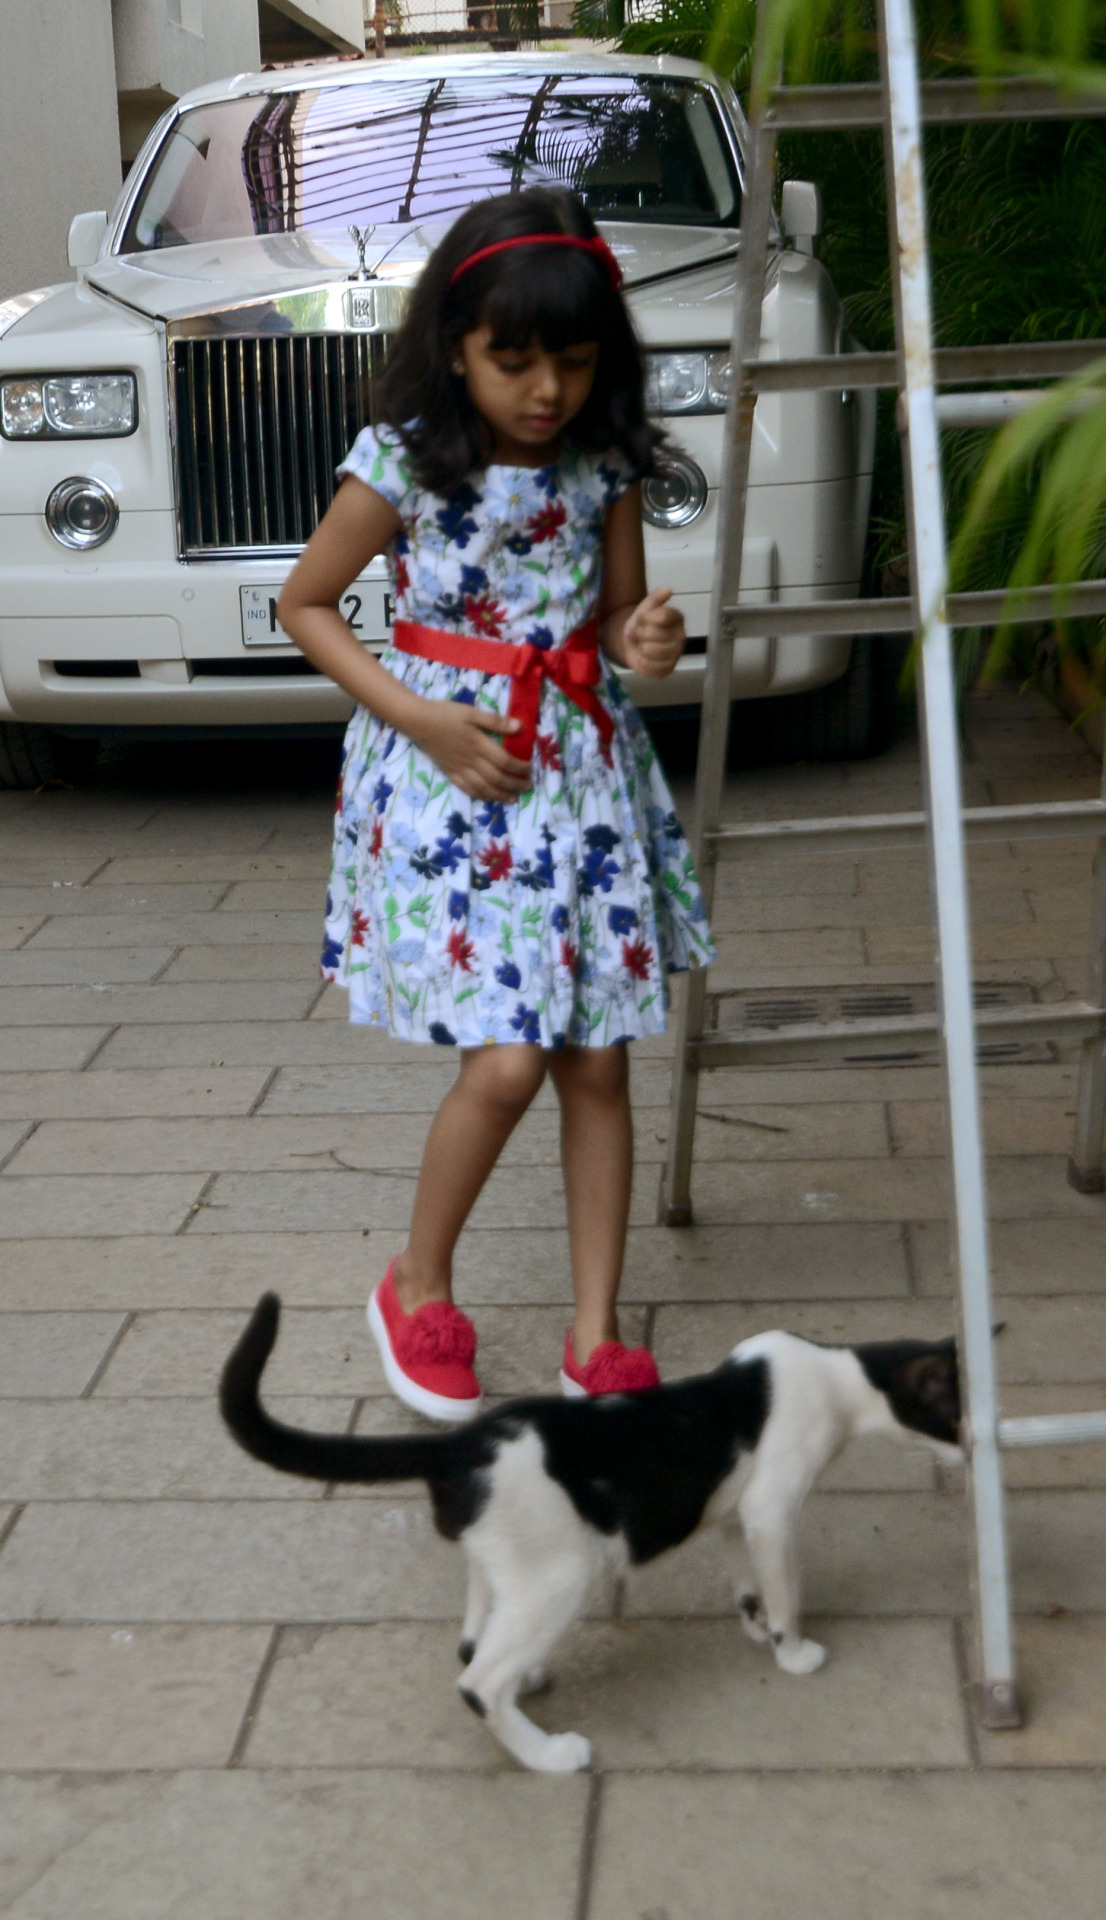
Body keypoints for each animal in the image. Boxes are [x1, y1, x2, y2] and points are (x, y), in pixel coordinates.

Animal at [220, 1297, 963, 1774]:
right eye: (960, 1414)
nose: (975, 1450)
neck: (836, 1374)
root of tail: (460, 1445)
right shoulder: (772, 1510)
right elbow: (786, 1589)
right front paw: (793, 1651)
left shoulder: (734, 1511)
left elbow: (747, 1577)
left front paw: (753, 1623)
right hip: (560, 1576)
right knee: (477, 1683)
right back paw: (552, 1755)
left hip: (503, 1567)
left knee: (473, 1643)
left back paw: (528, 1680)